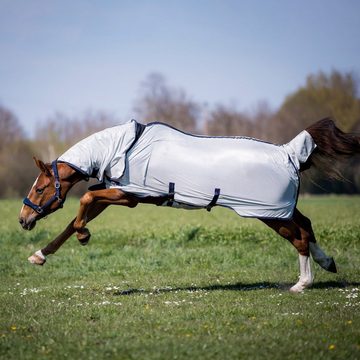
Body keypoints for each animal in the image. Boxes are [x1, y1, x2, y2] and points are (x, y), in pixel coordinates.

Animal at [18, 118, 358, 292]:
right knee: (307, 227)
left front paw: (83, 235)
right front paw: (39, 255)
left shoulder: (129, 196)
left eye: (41, 187)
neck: (125, 148)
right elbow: (75, 217)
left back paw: (302, 283)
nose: (23, 219)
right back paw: (327, 263)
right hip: (281, 210)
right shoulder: (117, 193)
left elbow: (85, 201)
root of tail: (289, 152)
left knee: (299, 237)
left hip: (270, 214)